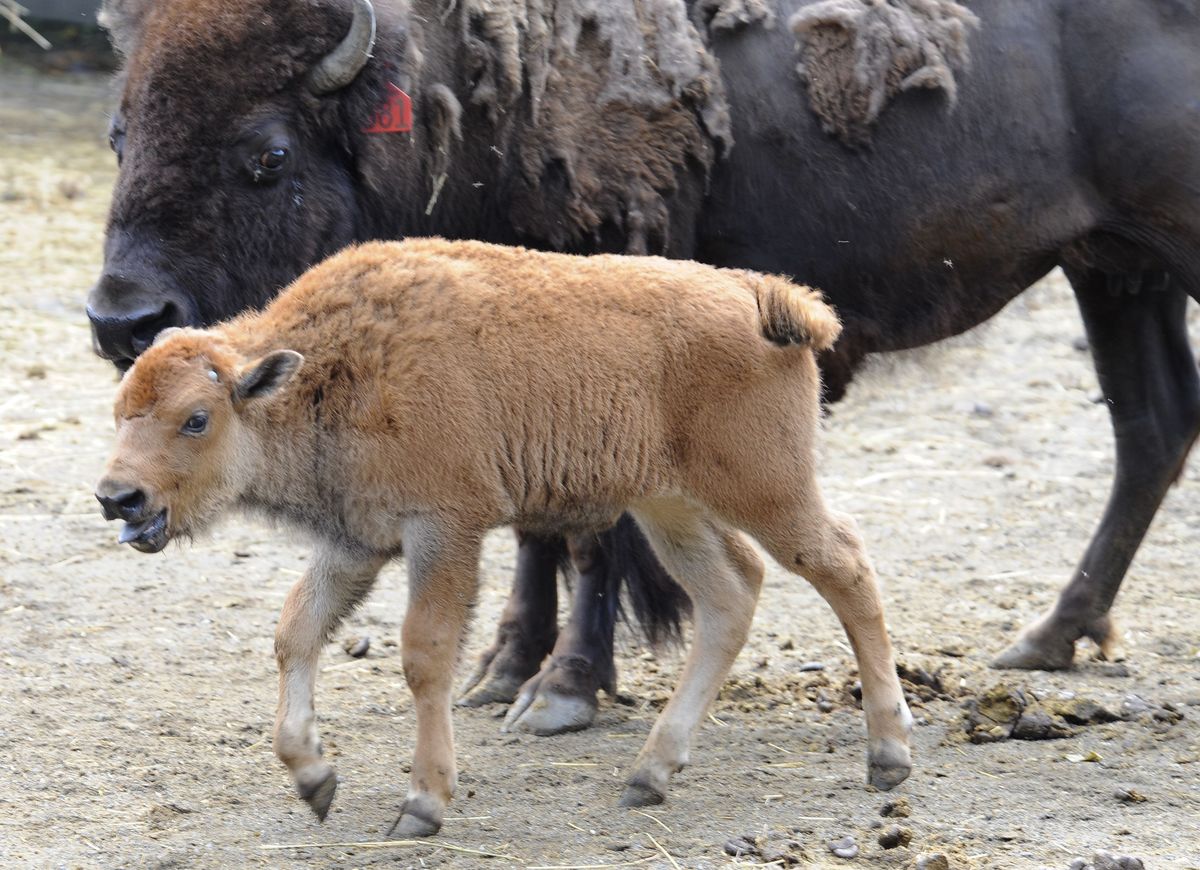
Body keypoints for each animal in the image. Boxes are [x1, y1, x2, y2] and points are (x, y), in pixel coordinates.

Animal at [88, 0, 1200, 734]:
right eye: (120, 129)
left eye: (267, 153)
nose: (122, 317)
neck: (482, 78)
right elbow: (534, 526)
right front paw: (505, 669)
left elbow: (592, 535)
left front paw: (563, 692)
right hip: (1114, 268)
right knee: (1151, 425)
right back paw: (1049, 638)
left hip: (1158, 259)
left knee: (1151, 427)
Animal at [96, 237, 907, 835]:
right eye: (120, 408)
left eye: (196, 418)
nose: (117, 498)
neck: (324, 367)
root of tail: (761, 295)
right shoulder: (357, 542)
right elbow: (296, 631)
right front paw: (314, 778)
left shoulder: (442, 530)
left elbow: (425, 655)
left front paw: (422, 806)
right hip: (669, 506)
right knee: (729, 596)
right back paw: (649, 775)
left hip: (766, 490)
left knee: (845, 566)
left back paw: (888, 756)